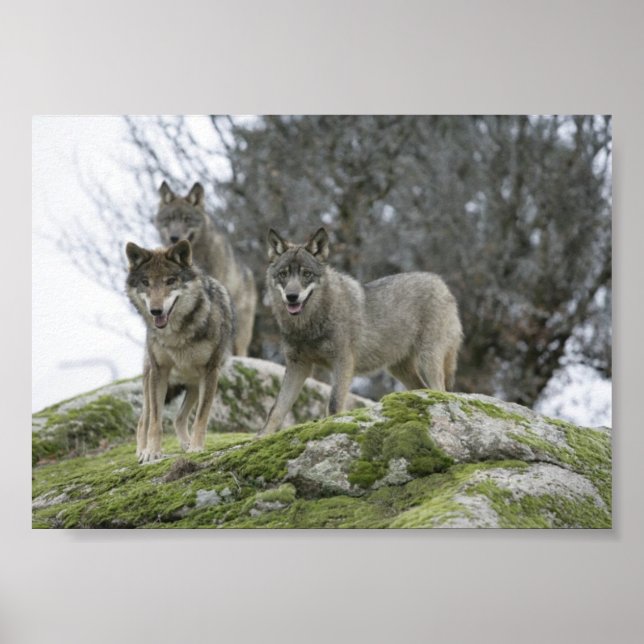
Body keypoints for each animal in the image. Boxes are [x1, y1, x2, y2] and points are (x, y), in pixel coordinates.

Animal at [125, 239, 234, 463]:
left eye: (170, 281)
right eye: (146, 282)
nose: (156, 311)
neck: (176, 335)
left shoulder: (210, 372)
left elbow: (201, 417)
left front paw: (196, 448)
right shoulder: (159, 372)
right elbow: (155, 421)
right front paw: (152, 452)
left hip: (194, 385)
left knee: (178, 418)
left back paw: (186, 444)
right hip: (150, 381)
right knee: (143, 421)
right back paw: (141, 451)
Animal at [260, 227, 463, 435]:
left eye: (306, 274)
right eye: (283, 274)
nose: (292, 297)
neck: (308, 324)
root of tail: (442, 284)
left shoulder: (342, 362)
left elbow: (334, 405)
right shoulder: (298, 365)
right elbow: (276, 410)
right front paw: (261, 437)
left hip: (428, 360)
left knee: (441, 391)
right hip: (399, 369)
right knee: (423, 389)